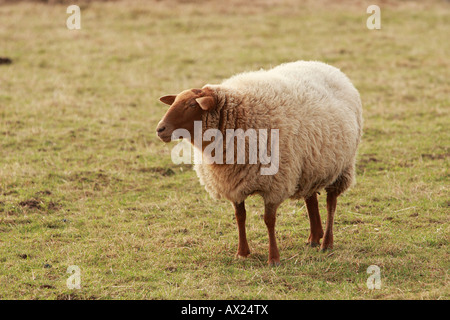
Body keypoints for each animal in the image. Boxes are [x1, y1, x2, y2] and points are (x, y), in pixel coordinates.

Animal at [156, 61, 364, 266]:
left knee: (331, 203)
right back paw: (314, 237)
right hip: (310, 164)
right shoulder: (233, 180)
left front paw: (274, 258)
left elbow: (269, 220)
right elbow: (240, 217)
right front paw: (242, 253)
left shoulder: (275, 183)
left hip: (341, 165)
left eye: (192, 104)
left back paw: (326, 242)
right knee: (310, 196)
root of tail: (329, 67)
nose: (160, 129)